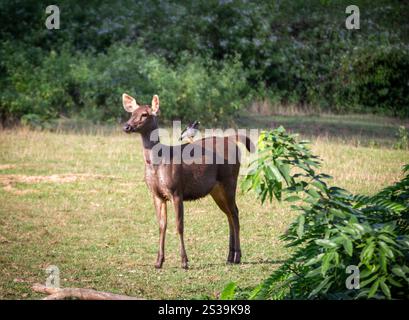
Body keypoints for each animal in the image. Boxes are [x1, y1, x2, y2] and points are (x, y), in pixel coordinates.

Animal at [121, 94, 253, 268]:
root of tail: (232, 140)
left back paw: (237, 256)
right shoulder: (156, 195)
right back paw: (230, 257)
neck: (158, 163)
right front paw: (158, 261)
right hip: (216, 190)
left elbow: (179, 226)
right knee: (229, 214)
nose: (127, 126)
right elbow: (161, 226)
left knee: (235, 213)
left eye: (145, 114)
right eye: (132, 113)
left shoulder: (177, 190)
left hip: (230, 180)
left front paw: (184, 261)